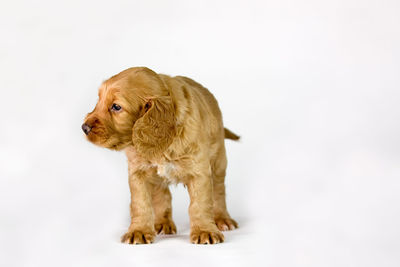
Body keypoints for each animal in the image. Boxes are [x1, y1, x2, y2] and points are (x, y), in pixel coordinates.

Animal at [81, 67, 238, 245]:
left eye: (116, 107)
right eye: (99, 100)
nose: (84, 127)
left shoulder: (199, 171)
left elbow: (201, 203)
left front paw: (205, 231)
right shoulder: (138, 172)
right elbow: (140, 203)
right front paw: (139, 231)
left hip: (218, 160)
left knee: (218, 190)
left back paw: (223, 219)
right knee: (162, 195)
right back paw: (162, 223)